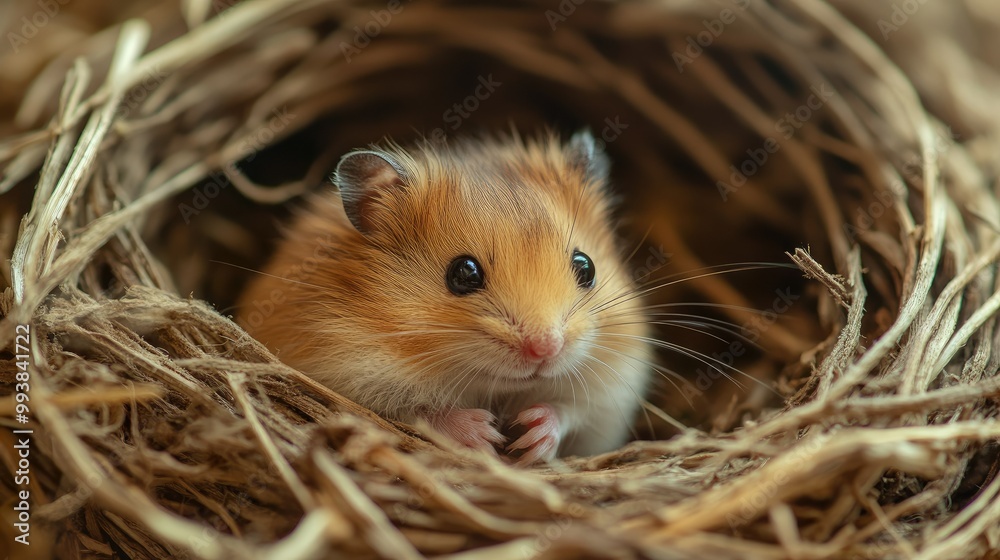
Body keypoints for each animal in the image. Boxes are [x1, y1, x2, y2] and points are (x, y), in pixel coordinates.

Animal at [237, 131, 653, 464]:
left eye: (587, 267)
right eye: (463, 273)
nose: (545, 349)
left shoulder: (612, 391)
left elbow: (569, 411)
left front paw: (531, 432)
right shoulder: (348, 381)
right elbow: (418, 413)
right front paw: (485, 434)